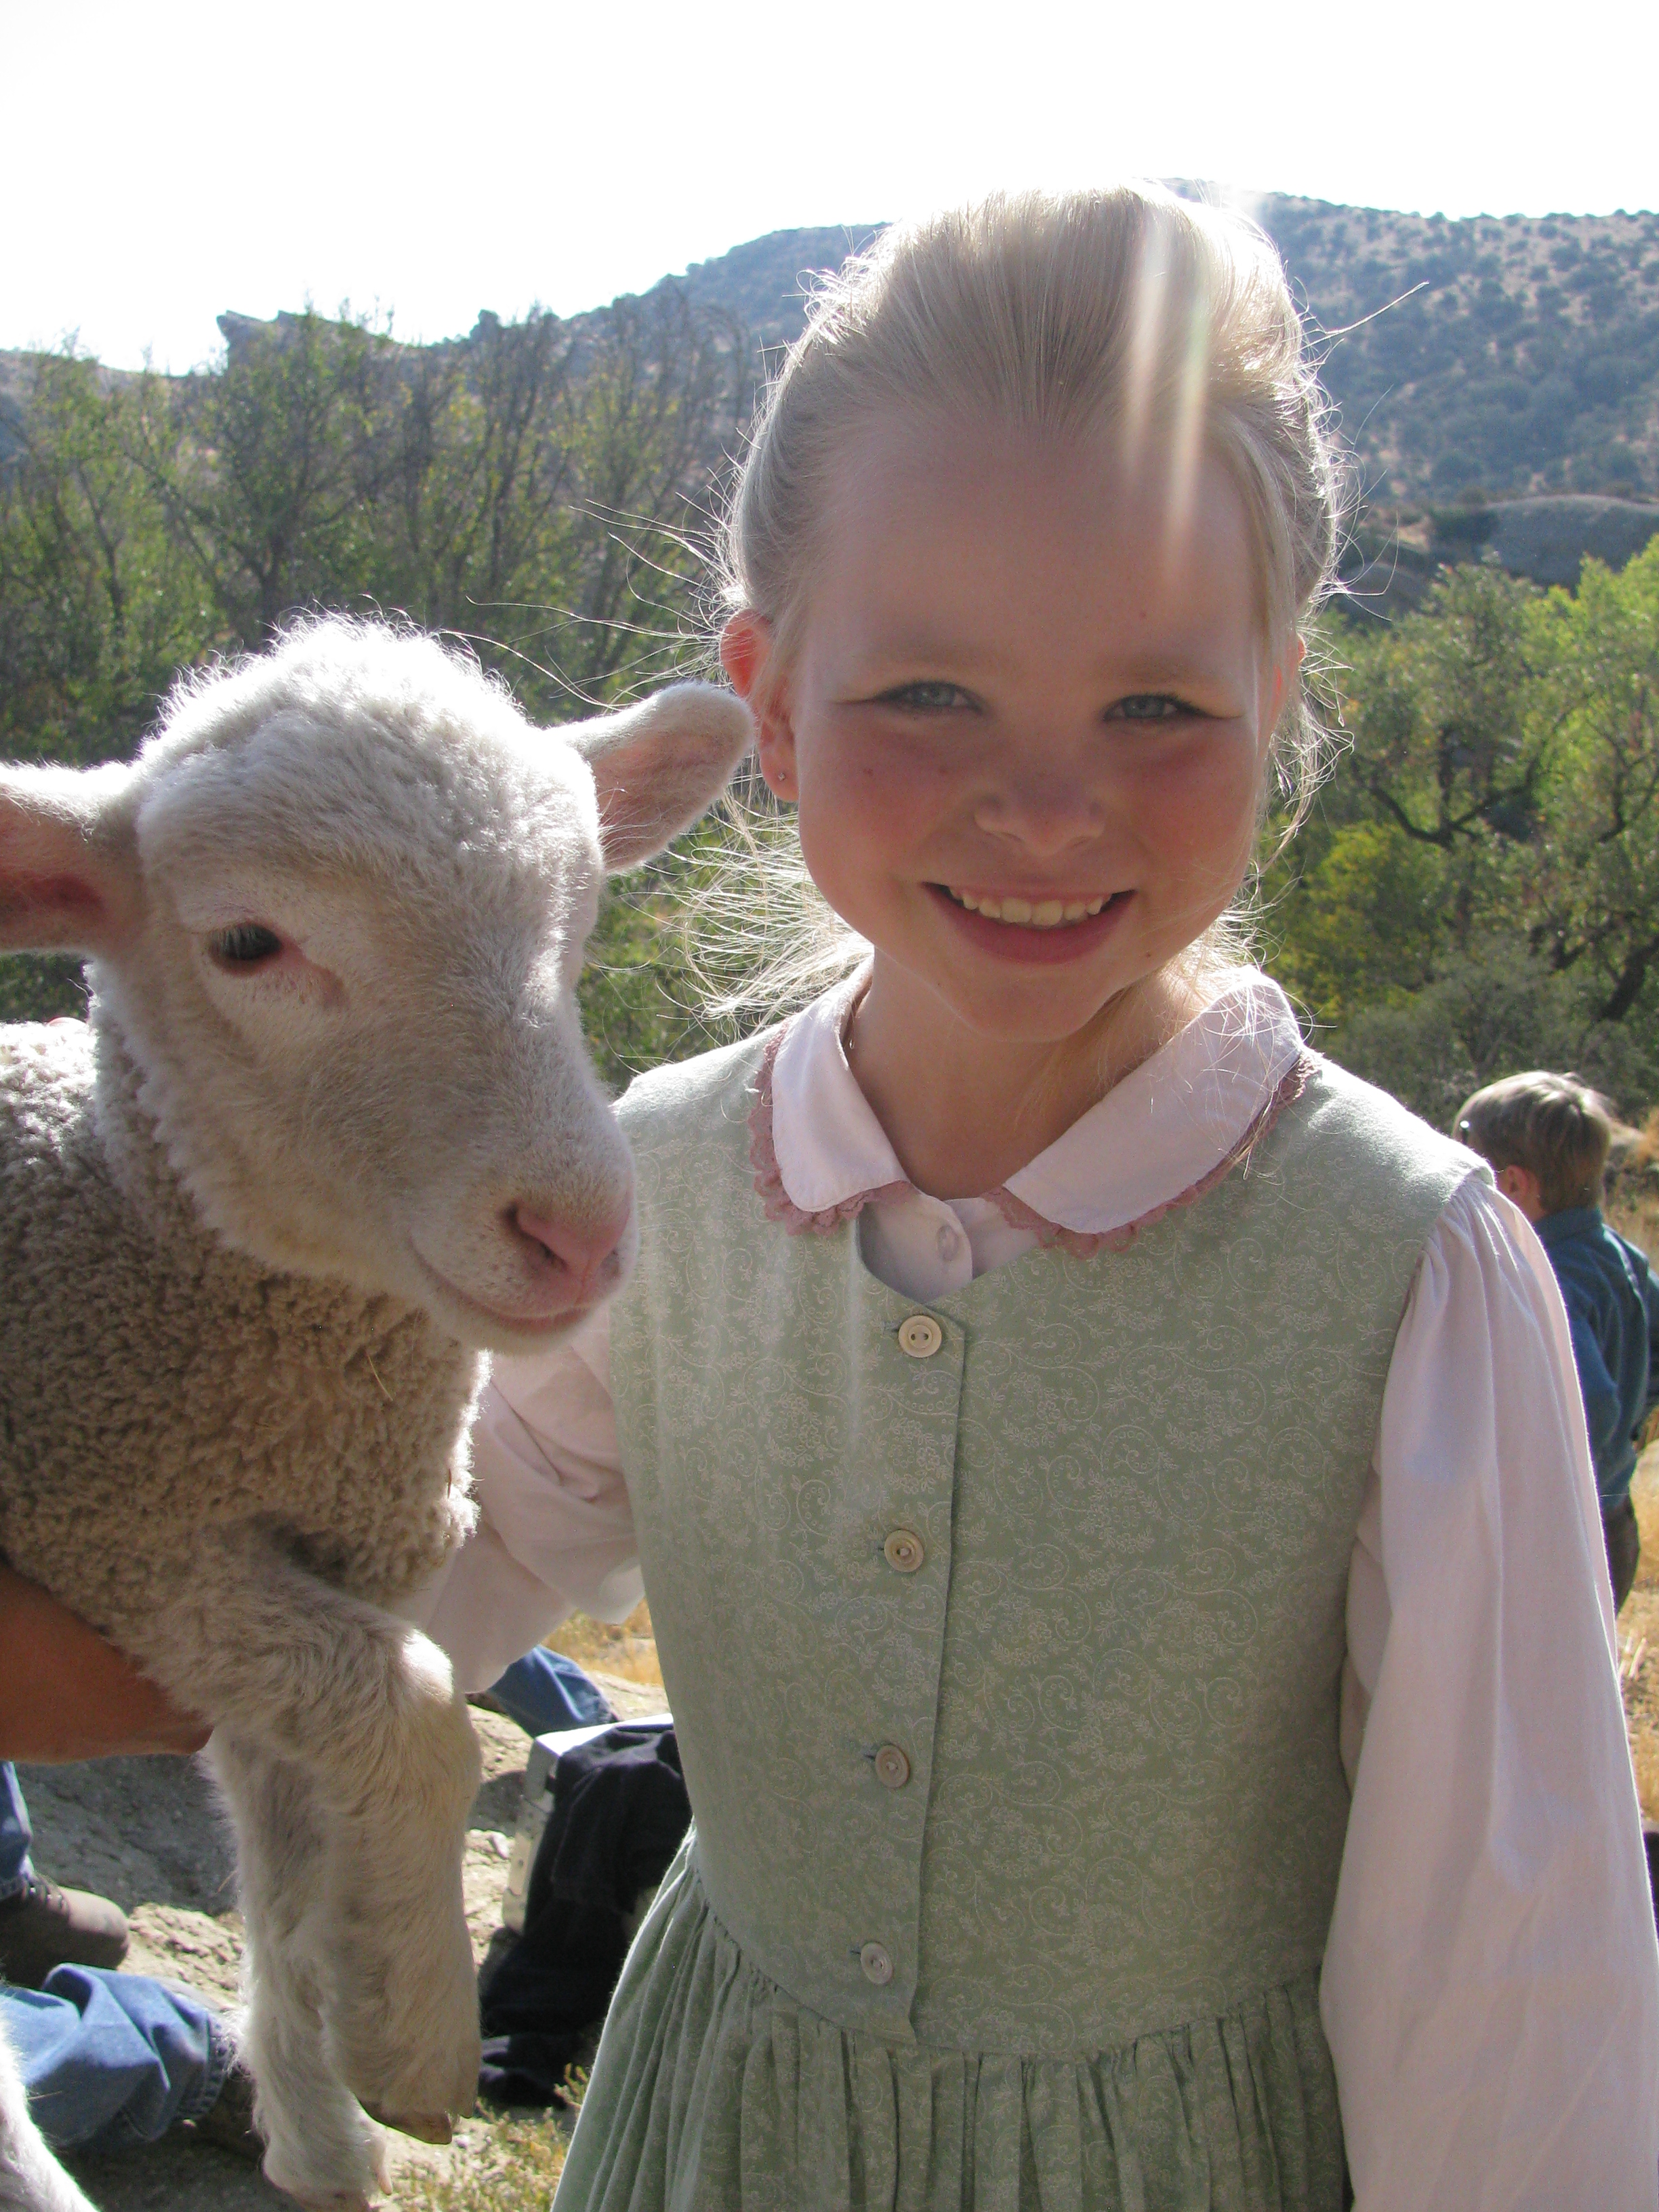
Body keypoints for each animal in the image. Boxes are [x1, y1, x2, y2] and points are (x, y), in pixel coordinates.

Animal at [0, 623, 752, 2212]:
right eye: (246, 944)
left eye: (578, 917)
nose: (580, 1233)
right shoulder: (117, 1524)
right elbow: (412, 1706)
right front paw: (414, 2041)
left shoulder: (333, 1571)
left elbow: (290, 1854)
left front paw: (323, 2102)